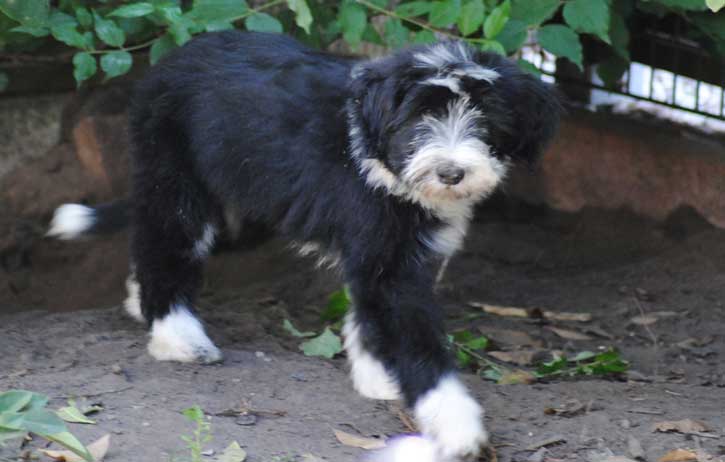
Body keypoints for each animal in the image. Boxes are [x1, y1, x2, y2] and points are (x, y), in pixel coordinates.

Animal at [48, 30, 564, 460]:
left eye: (486, 119)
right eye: (420, 117)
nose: (451, 173)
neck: (379, 148)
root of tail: (172, 57)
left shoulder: (397, 254)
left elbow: (371, 317)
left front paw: (378, 376)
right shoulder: (387, 261)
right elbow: (414, 338)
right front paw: (458, 425)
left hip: (240, 198)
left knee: (157, 239)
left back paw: (141, 302)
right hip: (175, 177)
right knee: (168, 240)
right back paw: (178, 335)